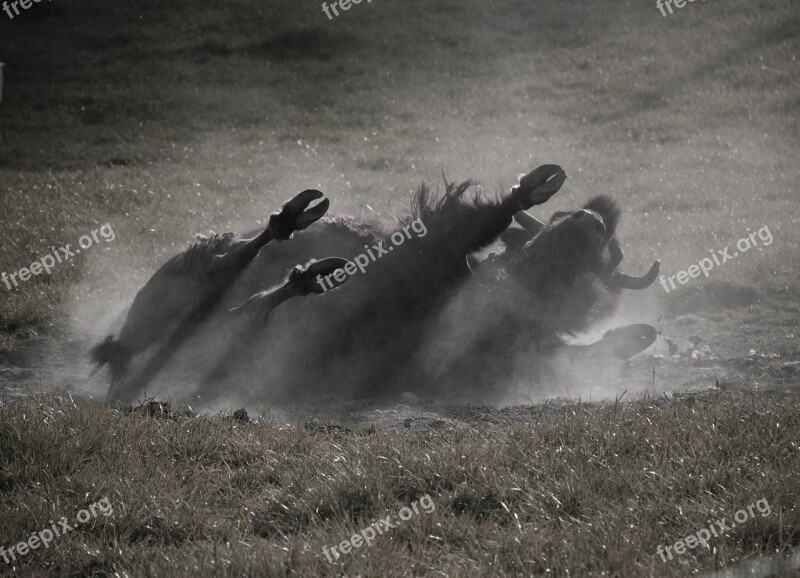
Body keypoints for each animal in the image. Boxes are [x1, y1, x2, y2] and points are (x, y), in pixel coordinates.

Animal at [94, 163, 660, 404]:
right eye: (558, 220)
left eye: (604, 260)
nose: (591, 218)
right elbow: (466, 224)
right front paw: (530, 189)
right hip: (176, 292)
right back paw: (293, 228)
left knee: (209, 339)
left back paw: (305, 273)